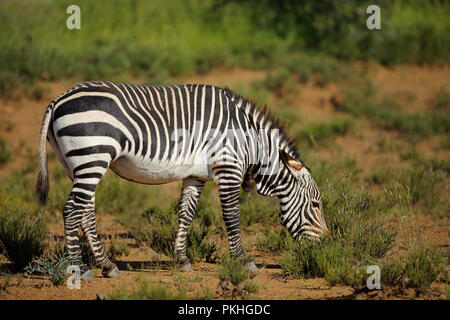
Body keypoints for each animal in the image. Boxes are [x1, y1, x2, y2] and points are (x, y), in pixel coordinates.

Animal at [35, 80, 328, 280]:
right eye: (316, 205)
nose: (326, 246)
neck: (249, 141)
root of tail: (58, 99)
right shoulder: (228, 169)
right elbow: (232, 217)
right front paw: (244, 262)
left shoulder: (195, 175)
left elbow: (186, 215)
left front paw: (182, 260)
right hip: (92, 156)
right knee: (71, 210)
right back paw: (79, 269)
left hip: (78, 164)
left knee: (85, 212)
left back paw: (107, 265)